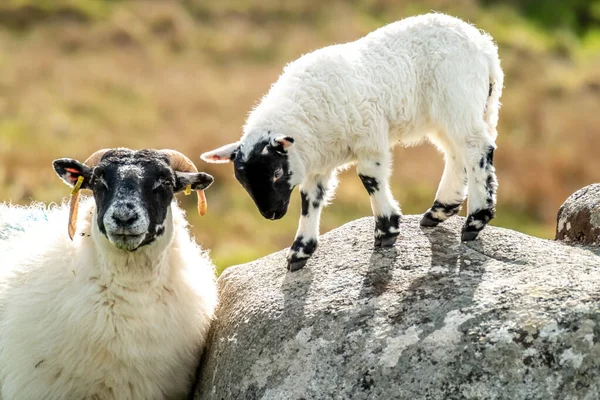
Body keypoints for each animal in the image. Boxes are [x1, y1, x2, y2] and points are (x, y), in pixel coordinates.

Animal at [204, 14, 504, 274]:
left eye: (277, 173)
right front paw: (300, 251)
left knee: (477, 148)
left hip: (458, 98)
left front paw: (386, 230)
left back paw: (474, 221)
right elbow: (310, 199)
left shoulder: (370, 138)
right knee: (457, 154)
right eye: (242, 181)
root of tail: (484, 45)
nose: (271, 214)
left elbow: (369, 178)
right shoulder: (317, 164)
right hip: (458, 111)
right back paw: (440, 211)